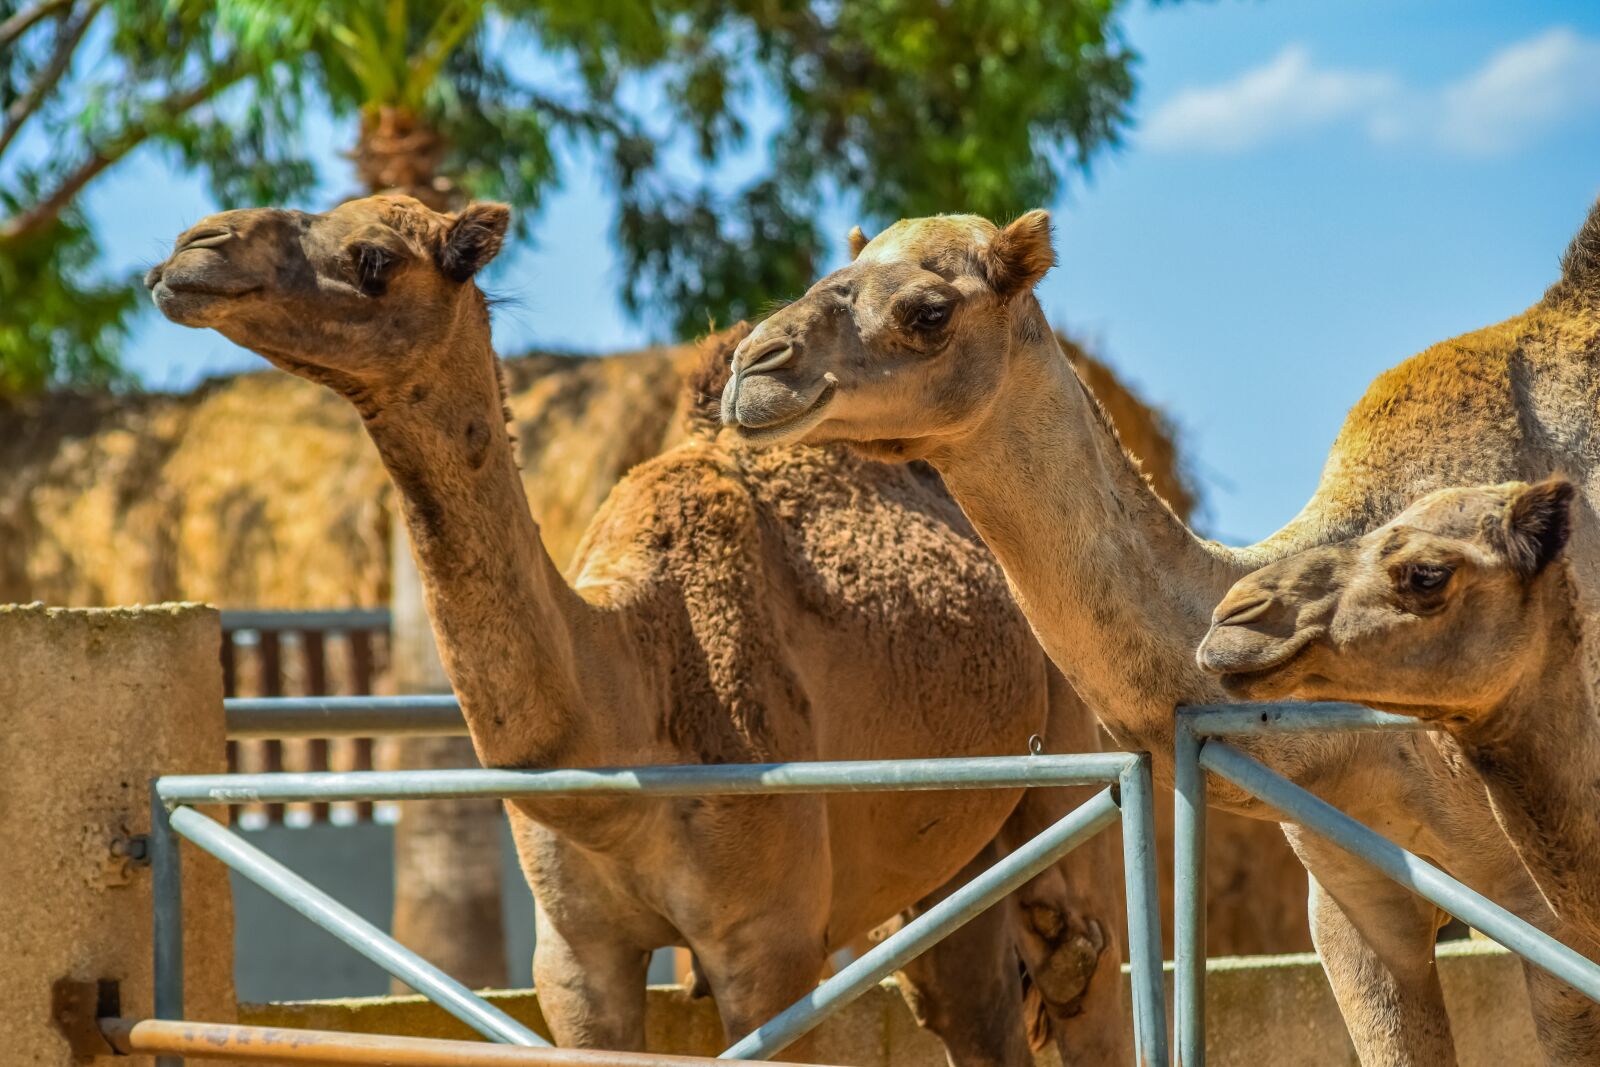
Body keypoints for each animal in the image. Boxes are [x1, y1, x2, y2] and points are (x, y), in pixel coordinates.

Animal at [141, 193, 1132, 1065]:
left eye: (373, 258)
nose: (193, 249)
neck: (625, 708)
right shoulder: (574, 955)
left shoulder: (769, 945)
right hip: (949, 858)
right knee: (971, 1004)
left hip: (1075, 761)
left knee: (1085, 975)